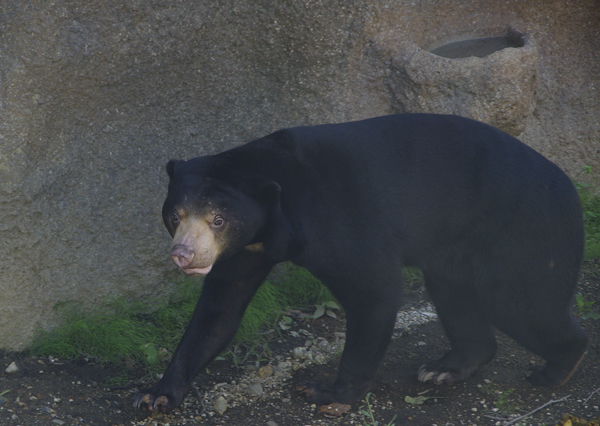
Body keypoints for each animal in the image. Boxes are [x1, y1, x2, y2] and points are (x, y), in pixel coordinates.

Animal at [132, 114, 584, 412]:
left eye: (218, 219)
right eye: (175, 215)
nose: (184, 255)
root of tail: (569, 186)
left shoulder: (340, 222)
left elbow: (374, 292)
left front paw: (327, 394)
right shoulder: (245, 251)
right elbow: (217, 312)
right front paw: (157, 393)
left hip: (521, 232)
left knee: (522, 302)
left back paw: (556, 367)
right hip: (457, 250)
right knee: (456, 297)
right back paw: (446, 369)